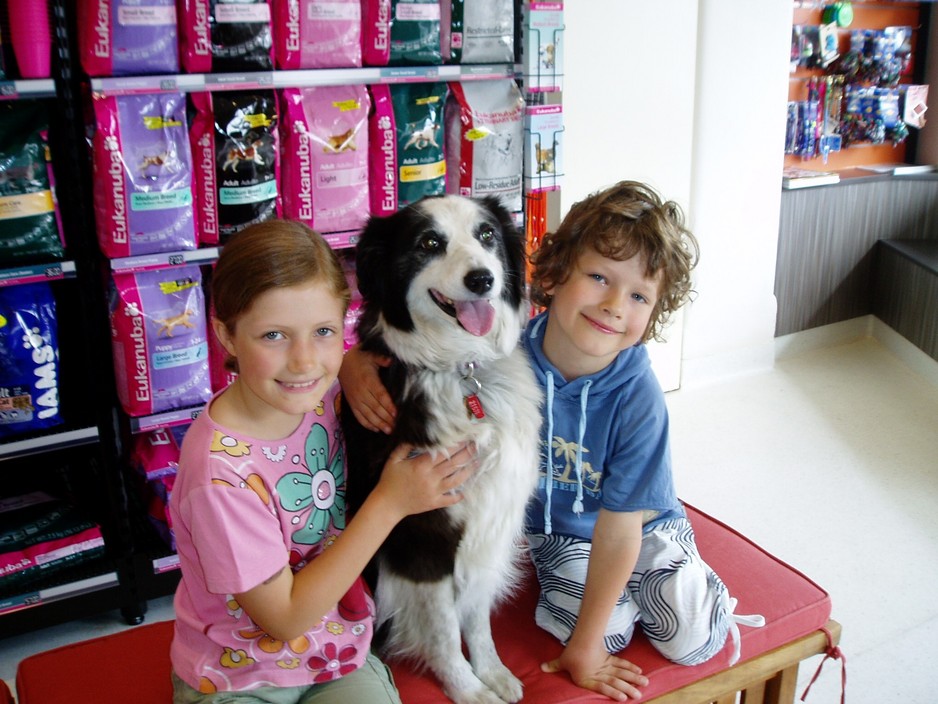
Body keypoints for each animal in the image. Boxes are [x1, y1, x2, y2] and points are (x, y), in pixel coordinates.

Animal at [340, 194, 536, 704]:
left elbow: (477, 617)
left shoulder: (491, 517)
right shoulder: (422, 533)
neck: (463, 368)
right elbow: (445, 628)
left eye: (487, 234)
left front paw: (492, 671)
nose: (482, 279)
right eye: (429, 243)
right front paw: (467, 688)